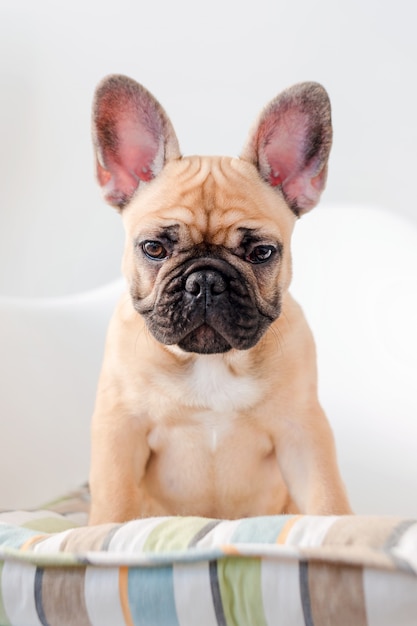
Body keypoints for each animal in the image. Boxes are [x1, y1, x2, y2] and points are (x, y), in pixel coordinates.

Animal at [88, 74, 352, 520]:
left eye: (261, 252)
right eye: (154, 248)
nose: (206, 281)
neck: (210, 362)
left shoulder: (303, 433)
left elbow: (327, 500)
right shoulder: (120, 430)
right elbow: (114, 507)